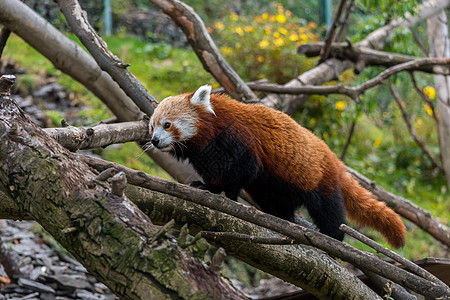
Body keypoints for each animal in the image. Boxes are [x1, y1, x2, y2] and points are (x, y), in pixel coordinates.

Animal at [149, 85, 406, 248]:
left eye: (167, 125)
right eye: (152, 127)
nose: (154, 140)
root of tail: (334, 159)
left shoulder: (235, 139)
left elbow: (245, 170)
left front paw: (221, 192)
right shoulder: (205, 155)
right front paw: (207, 185)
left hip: (318, 177)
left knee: (328, 209)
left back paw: (332, 237)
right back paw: (280, 216)